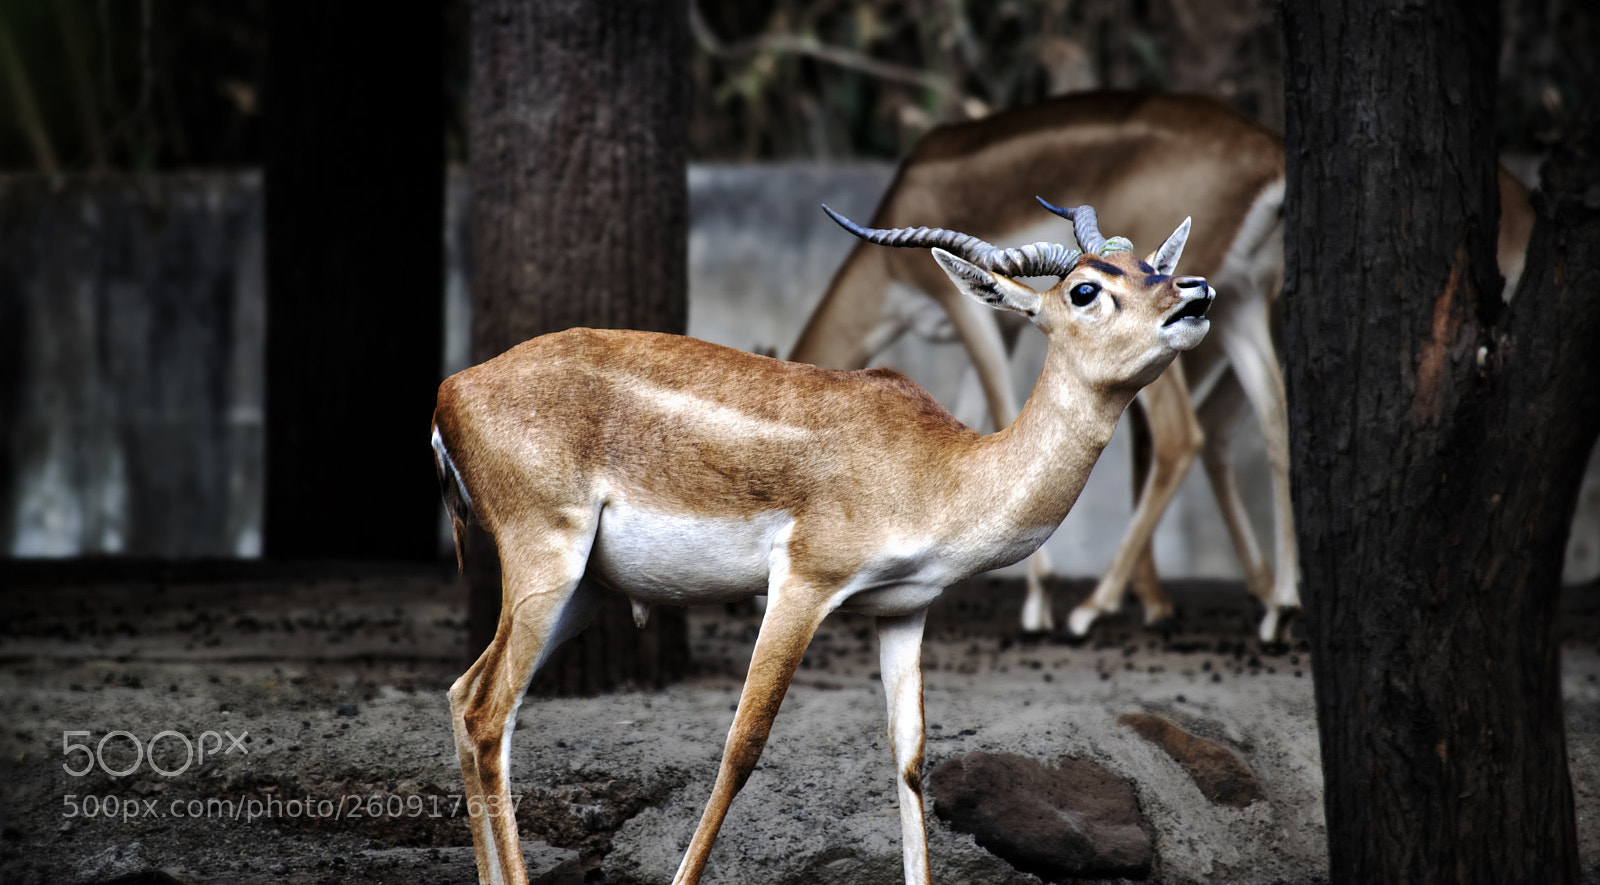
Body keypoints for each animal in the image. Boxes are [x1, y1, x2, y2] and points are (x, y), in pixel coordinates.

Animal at [431, 201, 1212, 885]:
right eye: (1085, 289)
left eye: (1150, 265)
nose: (1196, 291)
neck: (942, 467)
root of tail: (451, 391)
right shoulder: (803, 584)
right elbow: (743, 744)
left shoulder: (904, 610)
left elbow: (909, 757)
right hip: (548, 562)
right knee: (490, 712)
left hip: (585, 592)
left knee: (464, 695)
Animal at [790, 90, 1535, 642]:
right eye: (1087, 286)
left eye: (1136, 266)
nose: (1189, 288)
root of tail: (1269, 161)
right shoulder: (990, 326)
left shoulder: (969, 313)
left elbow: (996, 408)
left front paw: (1039, 602)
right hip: (1243, 304)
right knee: (1271, 419)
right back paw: (1274, 606)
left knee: (1183, 434)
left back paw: (1098, 608)